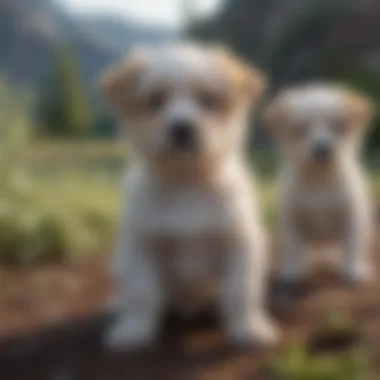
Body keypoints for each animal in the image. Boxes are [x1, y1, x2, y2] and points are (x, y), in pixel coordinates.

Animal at [101, 44, 280, 350]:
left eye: (208, 99)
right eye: (155, 100)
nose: (182, 128)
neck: (187, 182)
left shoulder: (240, 243)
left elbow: (240, 291)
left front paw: (248, 328)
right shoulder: (142, 247)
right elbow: (141, 293)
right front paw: (134, 330)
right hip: (121, 261)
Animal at [266, 83, 376, 284]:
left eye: (338, 126)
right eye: (300, 129)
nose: (323, 148)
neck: (320, 180)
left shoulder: (352, 219)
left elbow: (351, 247)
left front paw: (352, 271)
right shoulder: (291, 221)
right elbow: (293, 248)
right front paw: (292, 272)